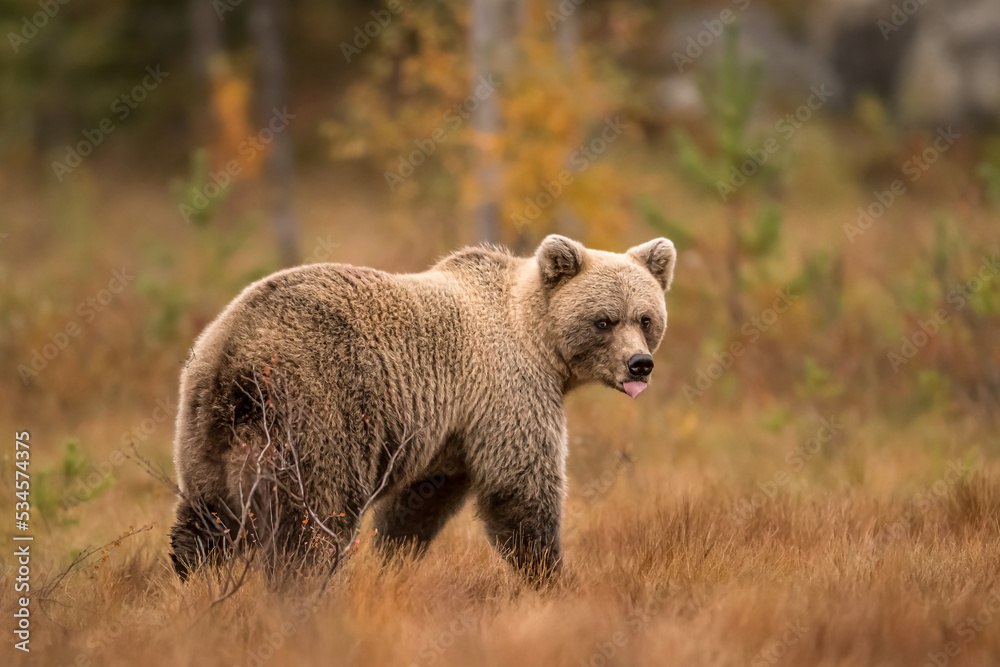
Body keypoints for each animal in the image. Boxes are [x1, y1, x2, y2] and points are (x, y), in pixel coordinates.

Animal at [169, 234, 676, 580]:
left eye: (645, 318)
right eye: (604, 320)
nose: (639, 364)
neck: (538, 341)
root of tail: (236, 351)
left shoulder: (450, 432)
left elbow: (420, 503)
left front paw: (395, 560)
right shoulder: (508, 391)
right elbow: (520, 486)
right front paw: (547, 572)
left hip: (206, 425)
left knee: (206, 516)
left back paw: (190, 583)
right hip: (317, 409)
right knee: (313, 518)